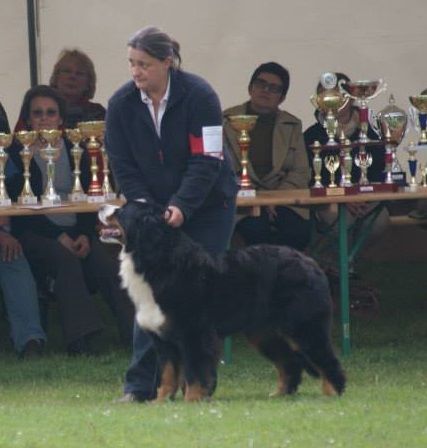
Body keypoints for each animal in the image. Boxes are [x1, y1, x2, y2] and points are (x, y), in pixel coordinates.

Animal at [98, 201, 346, 400]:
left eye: (122, 211)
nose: (101, 207)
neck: (157, 260)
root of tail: (311, 262)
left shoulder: (194, 334)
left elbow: (194, 373)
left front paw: (192, 400)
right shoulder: (164, 340)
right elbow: (168, 375)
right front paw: (160, 403)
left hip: (304, 327)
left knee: (327, 360)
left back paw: (332, 394)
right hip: (264, 333)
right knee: (290, 362)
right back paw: (280, 395)